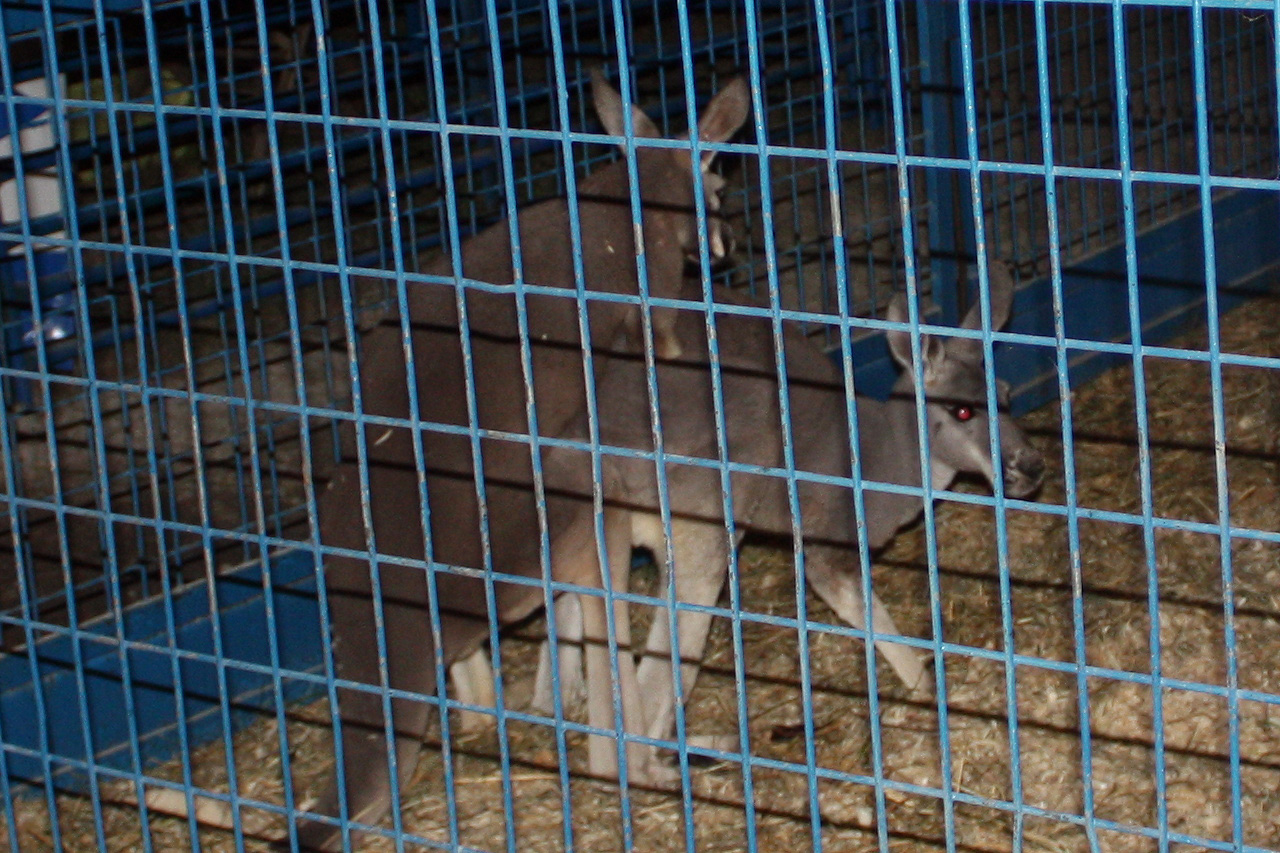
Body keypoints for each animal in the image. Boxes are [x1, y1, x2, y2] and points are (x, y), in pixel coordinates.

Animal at [284, 73, 751, 851]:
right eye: (717, 186)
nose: (724, 248)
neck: (630, 190)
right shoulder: (651, 299)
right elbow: (663, 337)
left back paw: (503, 705)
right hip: (571, 512)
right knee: (600, 653)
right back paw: (647, 761)